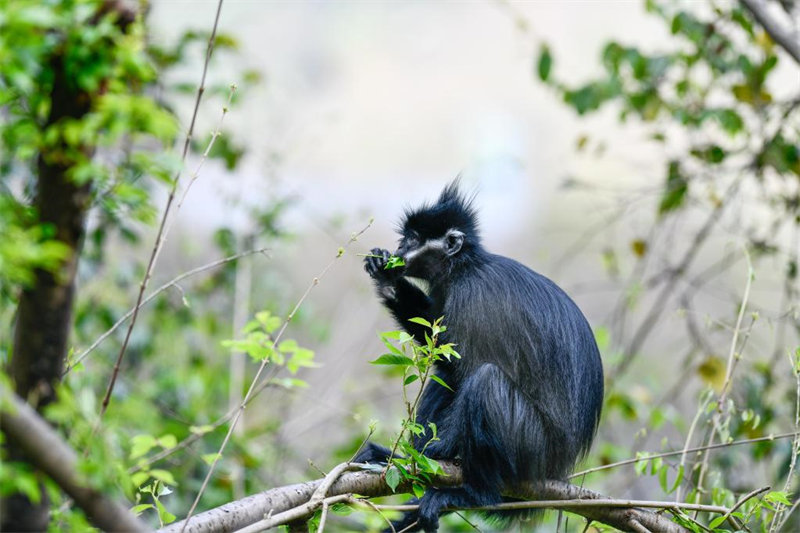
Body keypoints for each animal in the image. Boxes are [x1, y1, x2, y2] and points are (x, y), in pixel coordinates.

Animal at [358, 181, 608, 528]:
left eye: (412, 239)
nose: (398, 250)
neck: (464, 267)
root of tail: (558, 468)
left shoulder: (470, 298)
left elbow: (468, 368)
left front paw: (431, 454)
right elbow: (444, 359)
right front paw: (386, 277)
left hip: (532, 446)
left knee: (485, 380)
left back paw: (474, 493)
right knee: (446, 379)